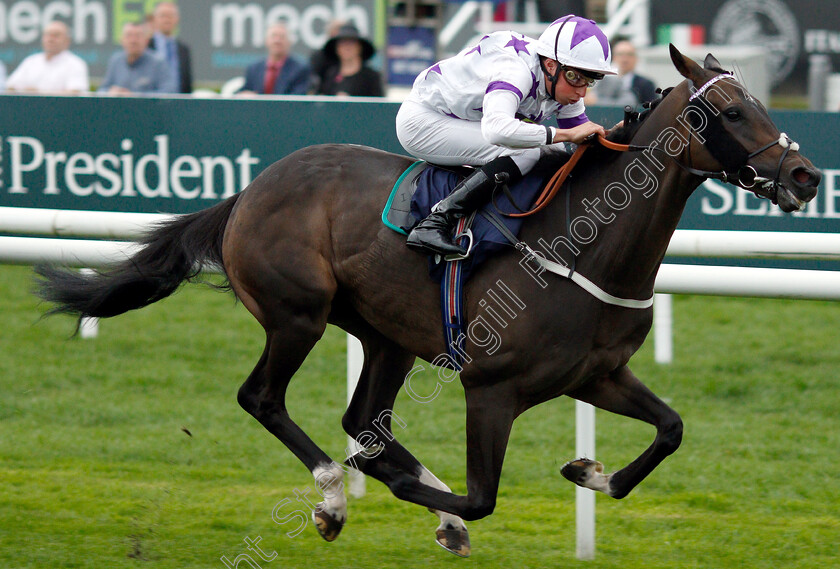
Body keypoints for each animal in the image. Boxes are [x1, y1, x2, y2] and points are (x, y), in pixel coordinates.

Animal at [36, 45, 816, 556]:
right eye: (729, 111)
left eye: (759, 103)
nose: (805, 176)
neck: (583, 244)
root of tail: (250, 191)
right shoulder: (491, 389)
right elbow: (480, 496)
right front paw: (419, 501)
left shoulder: (598, 374)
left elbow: (672, 428)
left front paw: (589, 470)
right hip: (298, 314)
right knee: (265, 398)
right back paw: (332, 495)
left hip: (386, 335)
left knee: (363, 420)